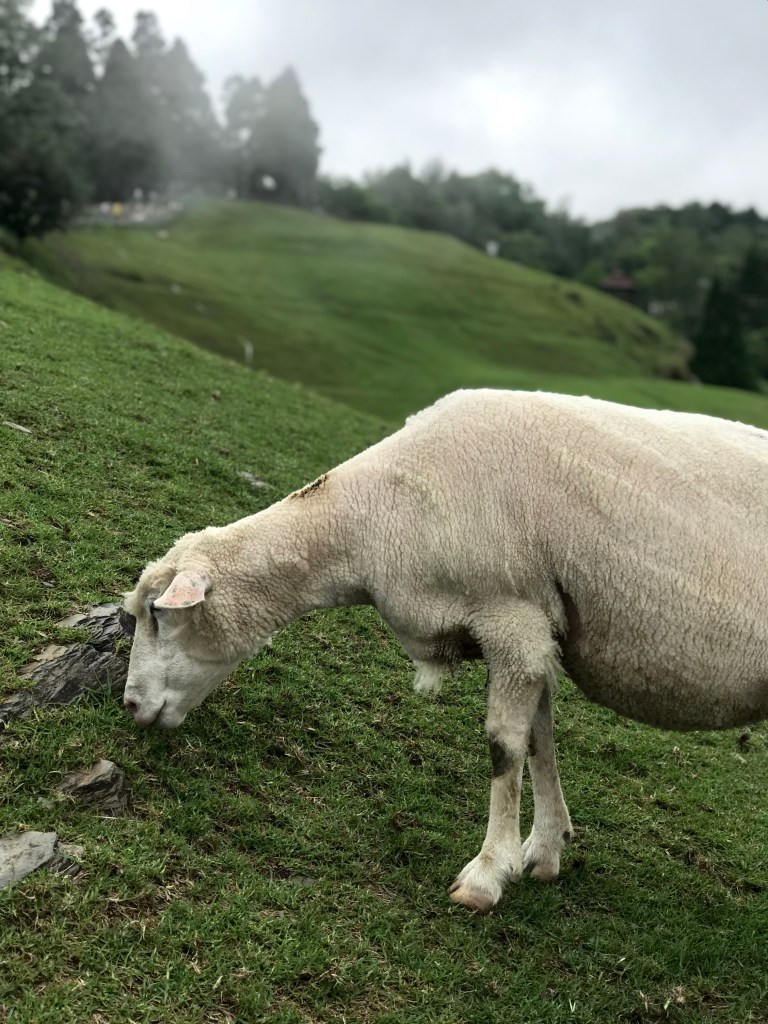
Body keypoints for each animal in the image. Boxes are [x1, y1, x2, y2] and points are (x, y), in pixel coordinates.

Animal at [122, 388, 768, 913]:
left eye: (157, 614)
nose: (128, 705)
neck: (369, 522)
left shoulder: (511, 614)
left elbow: (504, 746)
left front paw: (486, 875)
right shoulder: (536, 628)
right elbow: (540, 739)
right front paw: (546, 849)